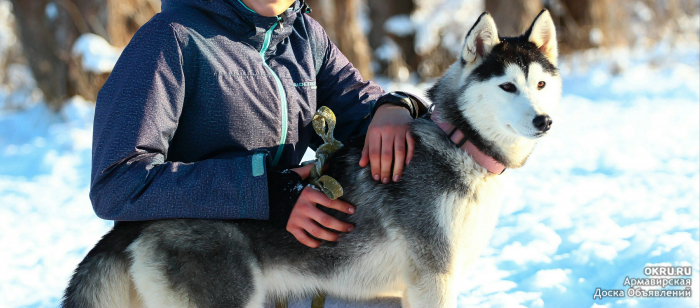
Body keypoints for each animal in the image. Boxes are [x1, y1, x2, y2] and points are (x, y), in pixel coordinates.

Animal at [61, 9, 564, 308]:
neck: (461, 142)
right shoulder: (432, 280)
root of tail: (130, 225)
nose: (544, 121)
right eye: (507, 86)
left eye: (540, 84)